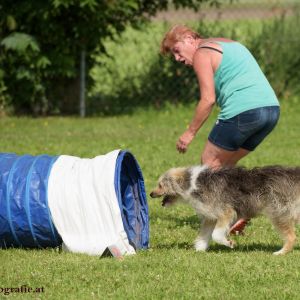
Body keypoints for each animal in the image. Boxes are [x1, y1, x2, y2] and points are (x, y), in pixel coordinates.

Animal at [151, 165, 300, 254]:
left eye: (161, 185)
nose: (151, 194)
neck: (192, 184)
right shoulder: (210, 217)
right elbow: (204, 235)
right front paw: (199, 250)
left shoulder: (226, 213)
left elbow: (216, 235)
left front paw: (229, 243)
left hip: (279, 213)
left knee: (292, 237)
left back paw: (281, 252)